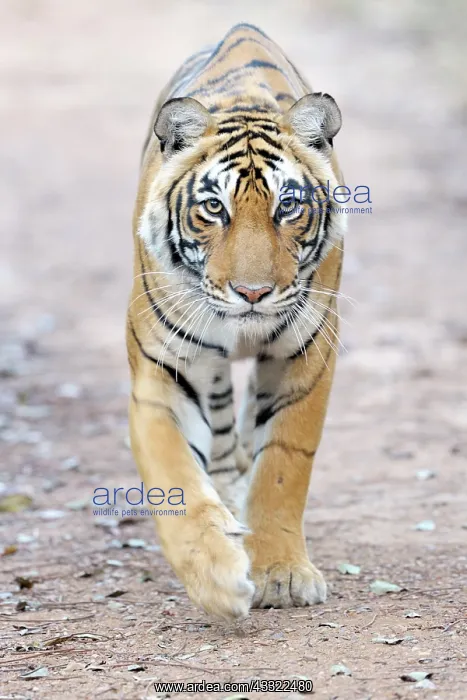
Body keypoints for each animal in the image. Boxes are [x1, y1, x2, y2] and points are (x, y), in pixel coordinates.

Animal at [127, 23, 346, 620]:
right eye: (214, 208)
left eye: (287, 207)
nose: (252, 294)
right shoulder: (164, 373)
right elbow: (176, 478)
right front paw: (216, 576)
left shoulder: (305, 356)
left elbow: (283, 466)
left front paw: (282, 575)